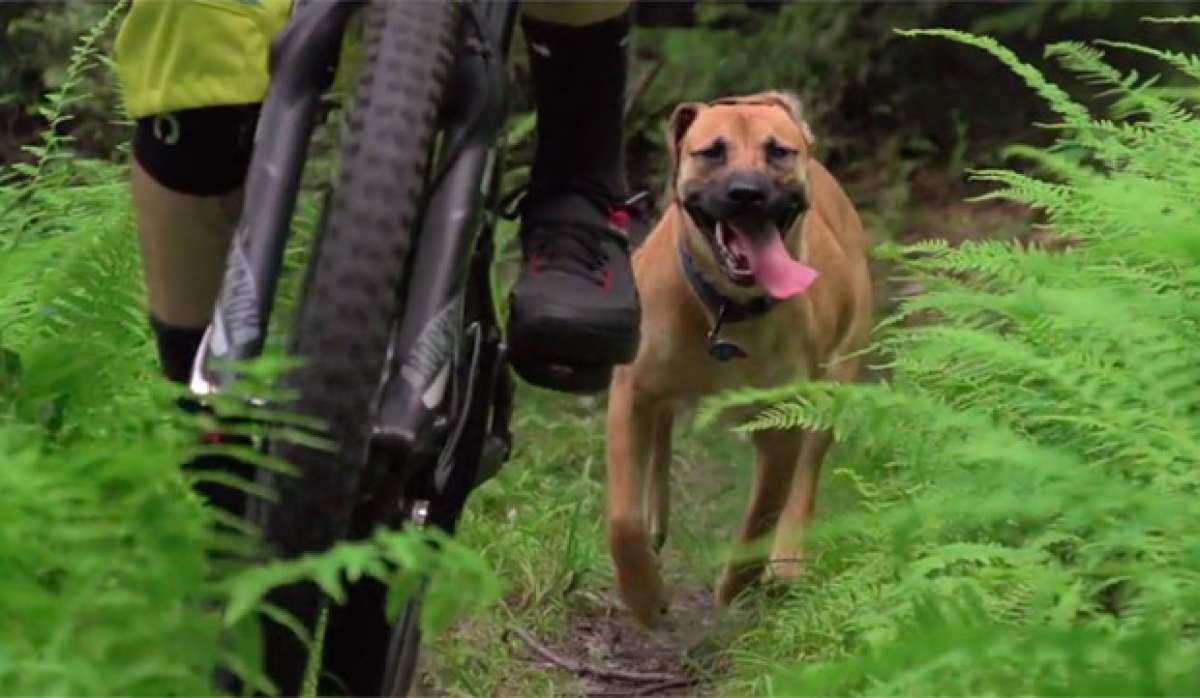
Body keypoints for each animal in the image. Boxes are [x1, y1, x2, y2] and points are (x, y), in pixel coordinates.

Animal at [604, 90, 868, 628]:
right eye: (713, 152)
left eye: (778, 152)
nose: (747, 193)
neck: (726, 308)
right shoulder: (632, 390)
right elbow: (622, 518)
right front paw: (642, 592)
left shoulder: (784, 421)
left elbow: (763, 511)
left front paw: (736, 586)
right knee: (662, 433)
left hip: (836, 378)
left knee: (805, 479)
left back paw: (786, 560)